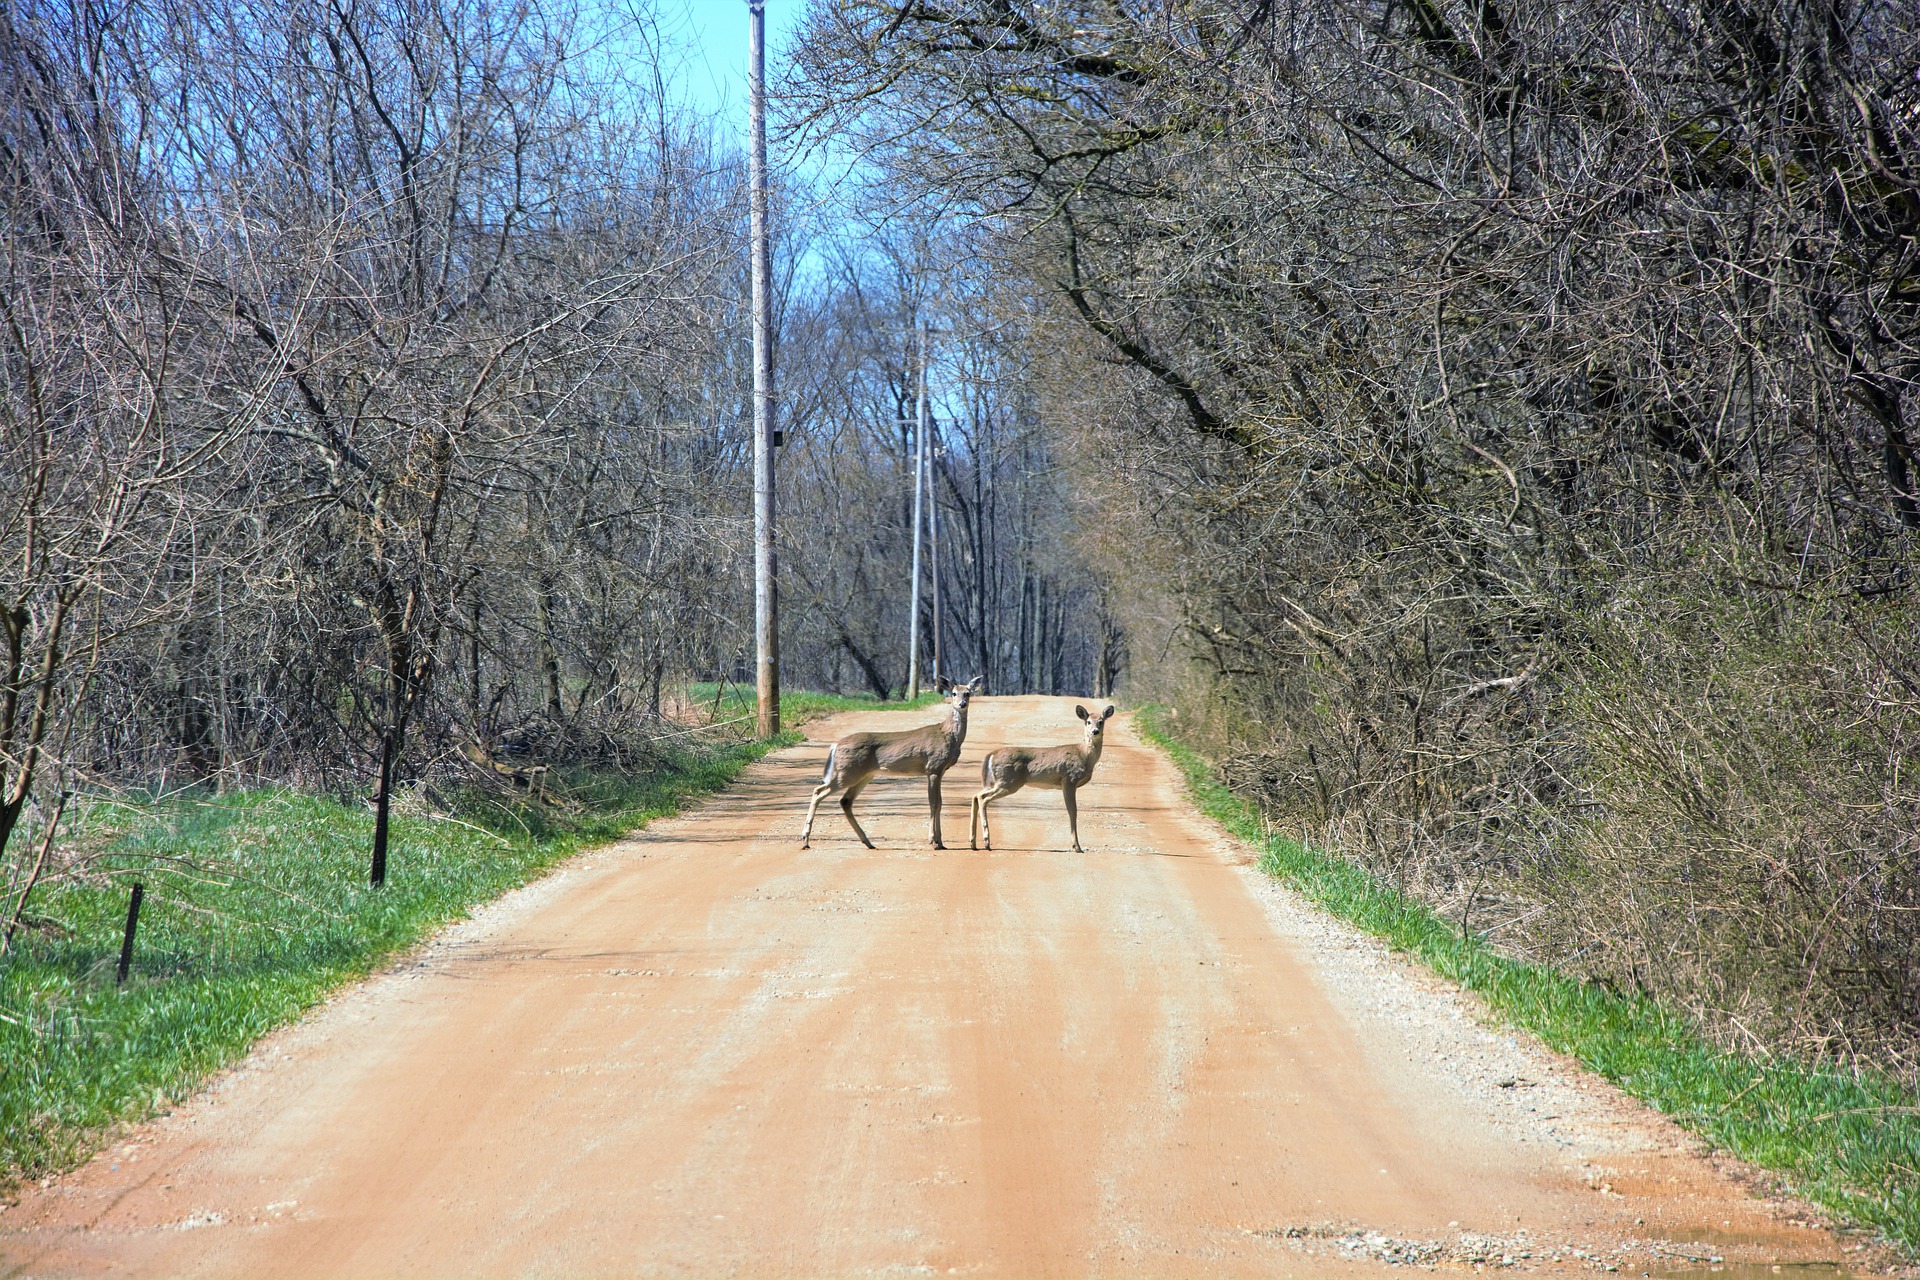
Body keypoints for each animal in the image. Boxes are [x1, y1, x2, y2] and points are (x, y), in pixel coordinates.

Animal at [798, 679, 983, 852]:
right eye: (953, 693)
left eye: (967, 693)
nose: (962, 704)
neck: (947, 734)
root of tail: (835, 745)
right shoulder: (933, 768)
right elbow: (934, 803)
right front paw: (933, 841)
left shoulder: (940, 771)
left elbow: (940, 803)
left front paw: (941, 842)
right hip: (848, 772)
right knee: (818, 791)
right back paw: (805, 840)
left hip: (864, 775)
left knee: (845, 801)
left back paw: (868, 842)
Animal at [967, 702, 1121, 852]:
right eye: (1088, 721)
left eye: (1101, 721)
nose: (1094, 731)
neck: (1084, 755)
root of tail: (991, 755)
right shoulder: (1069, 779)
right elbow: (1073, 811)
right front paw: (1076, 846)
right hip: (1008, 781)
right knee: (982, 798)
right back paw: (986, 842)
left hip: (994, 782)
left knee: (976, 795)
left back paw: (973, 842)